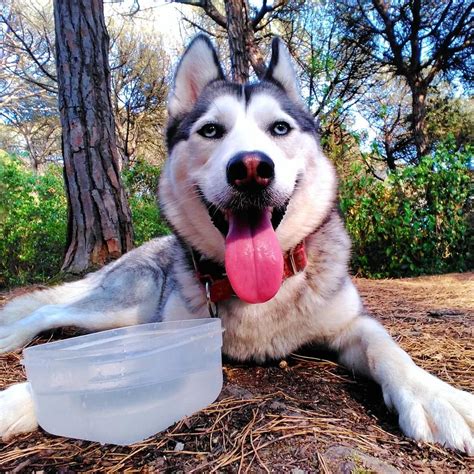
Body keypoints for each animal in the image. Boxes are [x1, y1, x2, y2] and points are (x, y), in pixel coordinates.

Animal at [0, 36, 474, 452]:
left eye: (279, 127)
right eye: (211, 130)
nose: (250, 168)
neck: (258, 291)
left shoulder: (350, 323)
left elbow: (386, 349)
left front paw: (436, 396)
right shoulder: (166, 329)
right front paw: (24, 398)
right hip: (127, 305)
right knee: (47, 310)